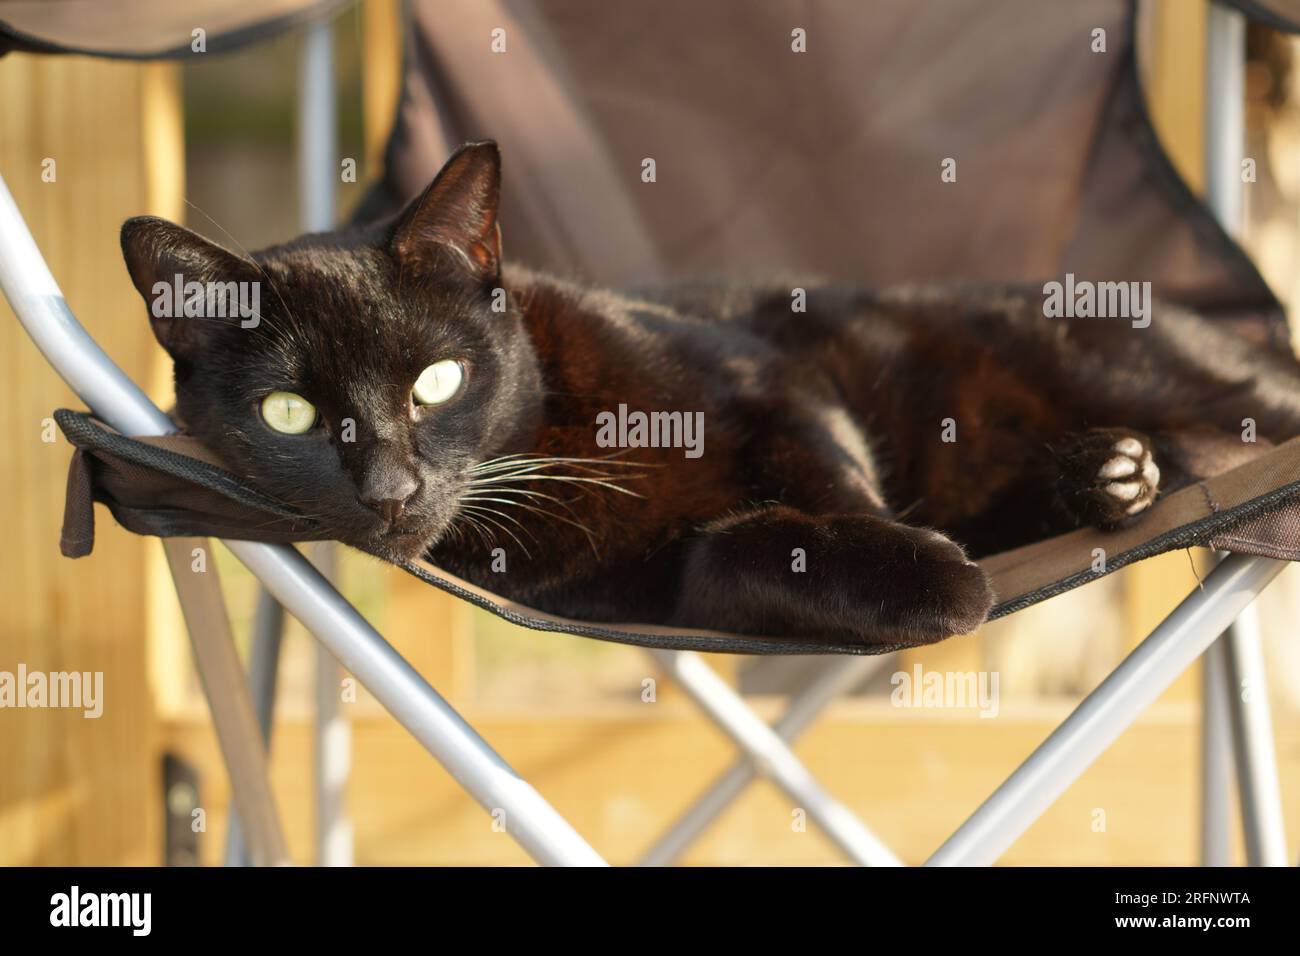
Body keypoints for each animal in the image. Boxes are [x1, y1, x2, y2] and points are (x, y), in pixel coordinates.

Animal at [116, 143, 1300, 650]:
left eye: (435, 381)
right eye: (290, 415)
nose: (391, 490)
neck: (568, 441)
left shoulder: (773, 377)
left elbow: (831, 480)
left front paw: (921, 568)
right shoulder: (628, 591)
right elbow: (729, 554)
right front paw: (931, 583)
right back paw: (1109, 475)